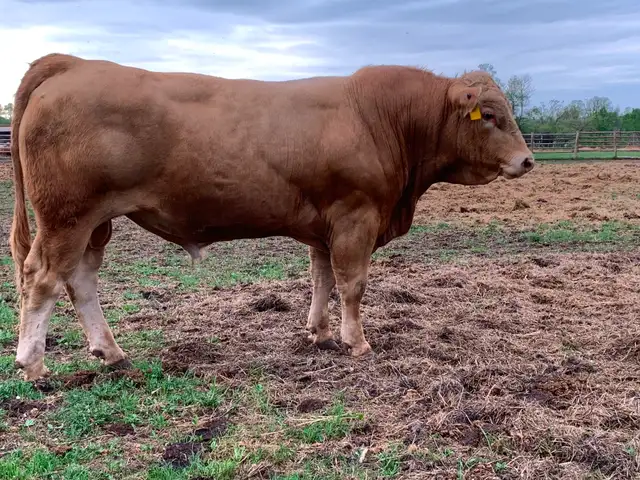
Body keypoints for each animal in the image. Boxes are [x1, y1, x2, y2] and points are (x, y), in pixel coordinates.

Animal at [9, 53, 534, 380]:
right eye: (489, 115)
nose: (527, 161)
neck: (382, 118)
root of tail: (74, 64)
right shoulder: (356, 216)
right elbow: (352, 283)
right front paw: (356, 342)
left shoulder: (326, 225)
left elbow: (322, 277)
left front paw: (321, 334)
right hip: (67, 217)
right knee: (42, 279)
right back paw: (33, 366)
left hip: (94, 223)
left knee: (80, 280)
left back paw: (111, 352)